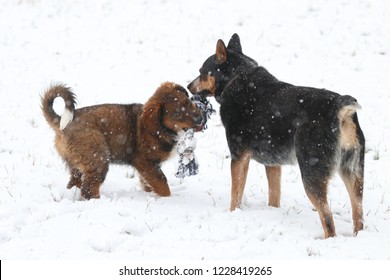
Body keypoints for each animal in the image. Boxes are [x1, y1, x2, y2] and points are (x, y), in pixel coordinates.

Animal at [41, 81, 203, 199]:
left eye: (188, 102)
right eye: (176, 114)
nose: (200, 119)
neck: (160, 127)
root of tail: (60, 122)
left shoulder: (149, 167)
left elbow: (149, 183)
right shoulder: (145, 162)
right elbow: (162, 184)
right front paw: (167, 199)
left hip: (77, 162)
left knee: (75, 182)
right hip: (97, 158)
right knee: (89, 188)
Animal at [189, 34, 366, 237]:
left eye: (202, 72)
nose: (188, 86)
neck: (237, 78)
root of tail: (341, 109)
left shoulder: (238, 156)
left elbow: (236, 194)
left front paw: (232, 214)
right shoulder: (273, 163)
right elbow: (274, 195)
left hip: (311, 172)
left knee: (328, 220)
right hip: (353, 172)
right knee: (358, 213)